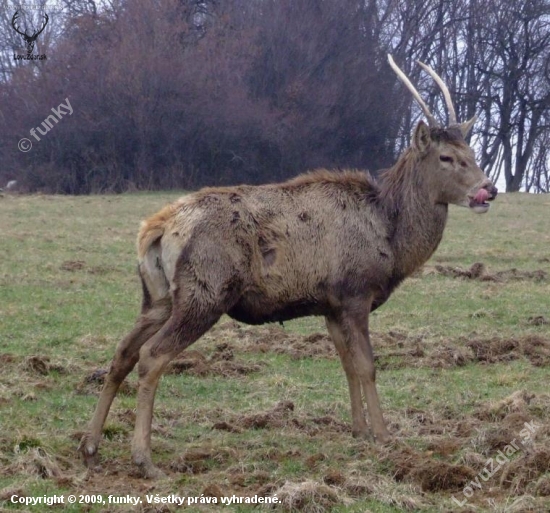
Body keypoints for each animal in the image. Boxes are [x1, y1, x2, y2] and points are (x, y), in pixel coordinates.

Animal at [78, 55, 500, 476]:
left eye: (472, 151)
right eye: (447, 157)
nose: (489, 189)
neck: (391, 240)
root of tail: (158, 228)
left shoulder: (330, 305)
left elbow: (347, 364)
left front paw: (359, 431)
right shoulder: (355, 292)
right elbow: (367, 365)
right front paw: (383, 436)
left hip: (157, 297)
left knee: (123, 352)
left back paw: (91, 446)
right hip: (205, 291)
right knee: (151, 356)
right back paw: (143, 458)